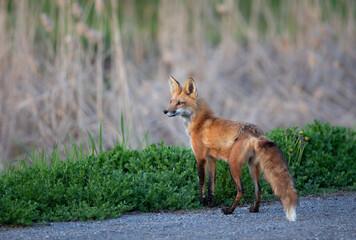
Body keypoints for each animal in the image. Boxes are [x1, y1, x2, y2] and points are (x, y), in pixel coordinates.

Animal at [164, 76, 298, 221]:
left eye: (180, 103)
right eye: (171, 101)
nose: (165, 111)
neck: (199, 122)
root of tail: (257, 132)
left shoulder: (200, 158)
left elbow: (202, 183)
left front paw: (202, 202)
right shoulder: (211, 158)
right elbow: (211, 184)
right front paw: (210, 203)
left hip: (233, 165)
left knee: (241, 190)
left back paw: (229, 210)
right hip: (252, 167)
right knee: (259, 189)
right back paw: (254, 209)